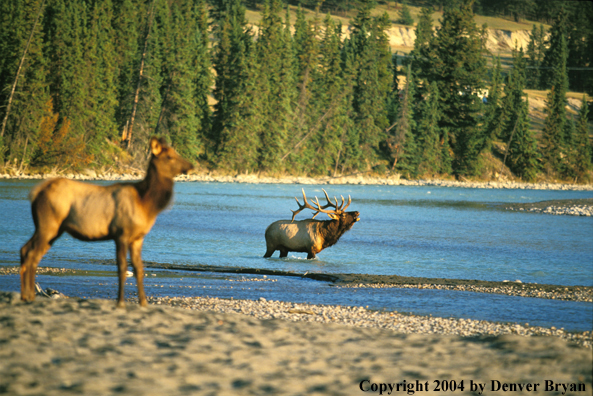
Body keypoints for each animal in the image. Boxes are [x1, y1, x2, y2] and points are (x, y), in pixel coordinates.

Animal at [19, 138, 192, 308]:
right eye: (169, 156)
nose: (191, 165)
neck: (147, 204)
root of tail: (36, 193)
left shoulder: (137, 238)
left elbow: (139, 268)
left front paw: (143, 303)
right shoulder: (121, 233)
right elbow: (122, 267)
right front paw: (120, 302)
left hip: (53, 230)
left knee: (27, 251)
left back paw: (27, 296)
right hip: (48, 225)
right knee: (31, 253)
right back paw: (28, 296)